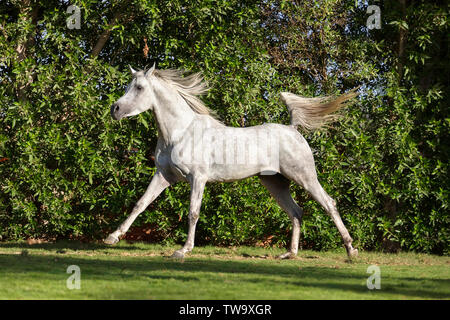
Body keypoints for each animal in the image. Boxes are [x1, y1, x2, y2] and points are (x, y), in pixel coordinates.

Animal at [106, 63, 358, 258]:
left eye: (139, 87)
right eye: (128, 86)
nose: (115, 109)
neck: (180, 132)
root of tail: (292, 128)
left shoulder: (197, 178)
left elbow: (193, 212)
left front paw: (184, 250)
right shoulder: (164, 176)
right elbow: (140, 203)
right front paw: (112, 237)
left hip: (304, 176)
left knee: (328, 203)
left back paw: (350, 250)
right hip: (275, 182)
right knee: (296, 211)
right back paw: (289, 254)